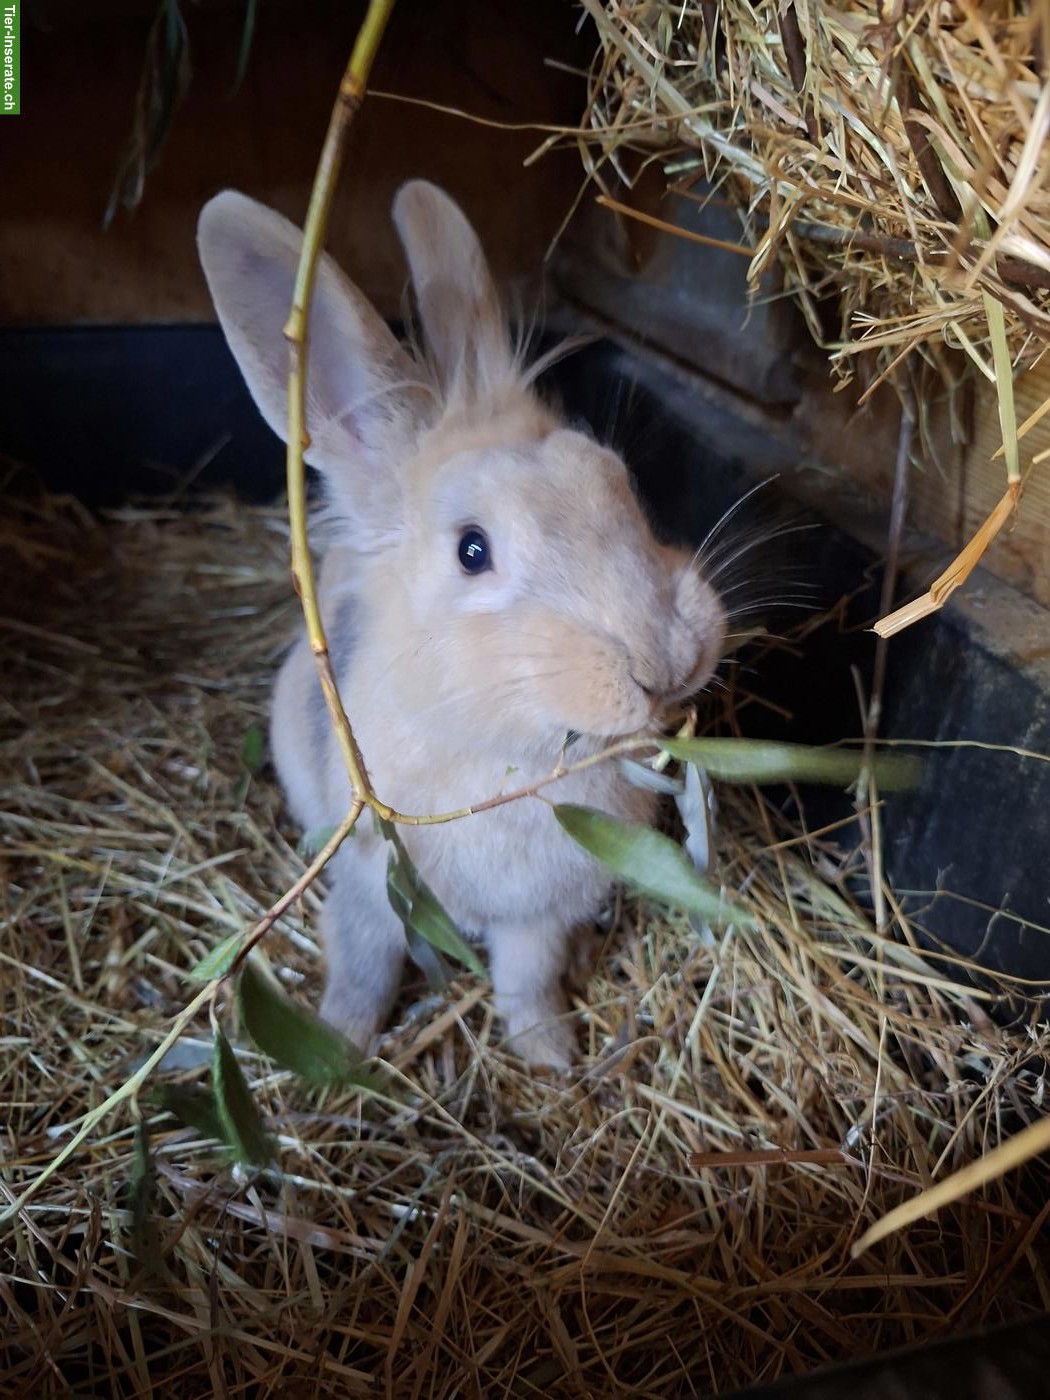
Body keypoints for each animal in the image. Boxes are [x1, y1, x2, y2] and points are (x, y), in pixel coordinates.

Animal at [197, 180, 726, 1069]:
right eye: (472, 550)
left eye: (616, 481)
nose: (666, 661)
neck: (512, 759)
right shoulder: (372, 892)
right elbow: (363, 968)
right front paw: (337, 1056)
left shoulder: (539, 919)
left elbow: (528, 981)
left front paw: (552, 1059)